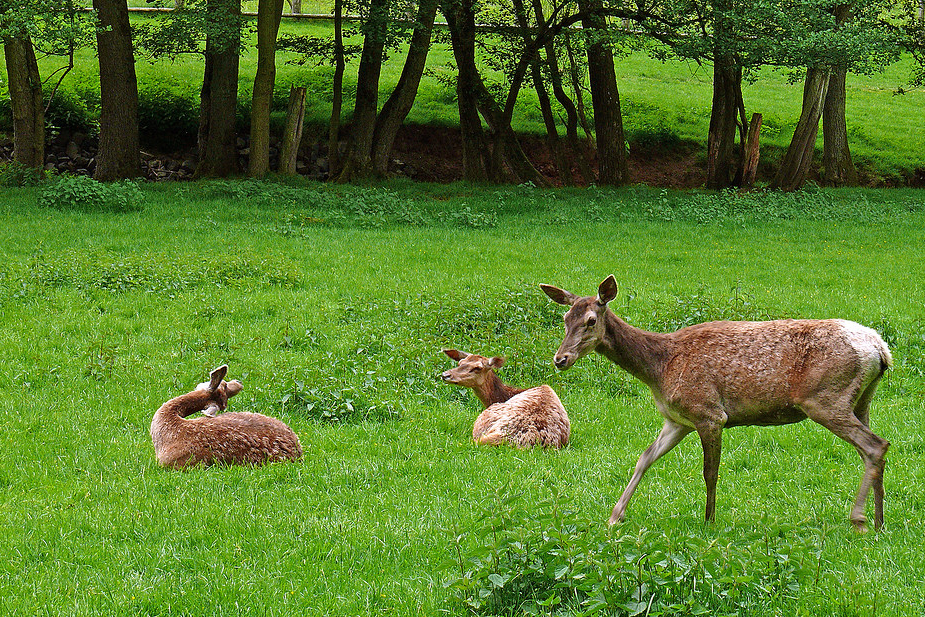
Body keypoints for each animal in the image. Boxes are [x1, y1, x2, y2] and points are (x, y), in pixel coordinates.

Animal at [540, 274, 888, 528]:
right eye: (564, 318)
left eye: (590, 320)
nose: (560, 359)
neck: (658, 369)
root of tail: (881, 349)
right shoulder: (677, 420)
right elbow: (645, 458)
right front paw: (615, 515)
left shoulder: (708, 412)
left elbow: (710, 472)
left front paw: (709, 521)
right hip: (861, 400)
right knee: (873, 449)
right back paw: (879, 521)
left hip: (825, 398)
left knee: (875, 445)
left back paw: (859, 518)